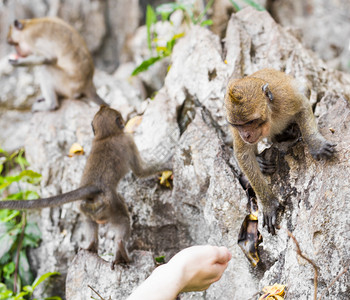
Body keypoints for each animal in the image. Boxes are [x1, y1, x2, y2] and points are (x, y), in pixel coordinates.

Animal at [0, 106, 171, 270]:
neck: (106, 135)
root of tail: (92, 186)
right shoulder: (128, 140)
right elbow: (140, 171)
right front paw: (167, 166)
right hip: (112, 204)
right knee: (123, 220)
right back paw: (121, 251)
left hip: (86, 207)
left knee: (89, 221)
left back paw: (90, 247)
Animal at [224, 69, 336, 234]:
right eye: (238, 125)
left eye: (250, 122)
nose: (246, 135)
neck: (269, 118)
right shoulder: (236, 132)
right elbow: (243, 155)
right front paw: (269, 203)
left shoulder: (285, 100)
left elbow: (302, 106)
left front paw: (315, 143)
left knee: (303, 88)